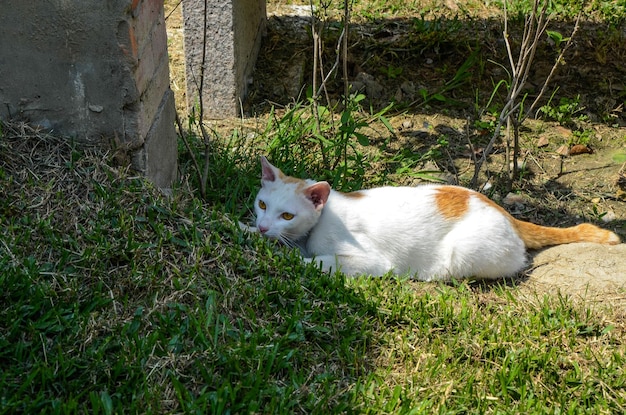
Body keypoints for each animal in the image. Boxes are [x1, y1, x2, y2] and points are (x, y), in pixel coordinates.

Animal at [250, 157, 620, 282]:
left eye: (287, 215)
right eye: (262, 204)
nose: (264, 227)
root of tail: (506, 214)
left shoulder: (372, 262)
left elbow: (318, 262)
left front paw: (287, 257)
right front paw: (247, 231)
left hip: (464, 252)